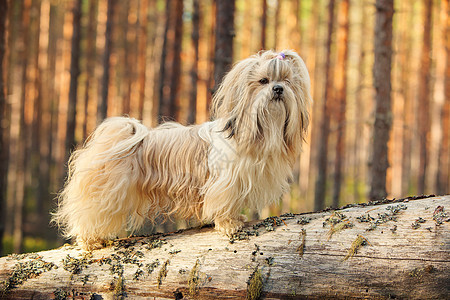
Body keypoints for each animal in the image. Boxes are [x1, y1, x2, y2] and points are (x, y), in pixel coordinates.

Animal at [52, 49, 312, 251]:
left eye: (287, 80)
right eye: (264, 81)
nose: (278, 89)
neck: (260, 130)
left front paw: (236, 218)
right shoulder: (225, 183)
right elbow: (224, 203)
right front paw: (228, 224)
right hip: (105, 193)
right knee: (89, 215)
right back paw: (90, 241)